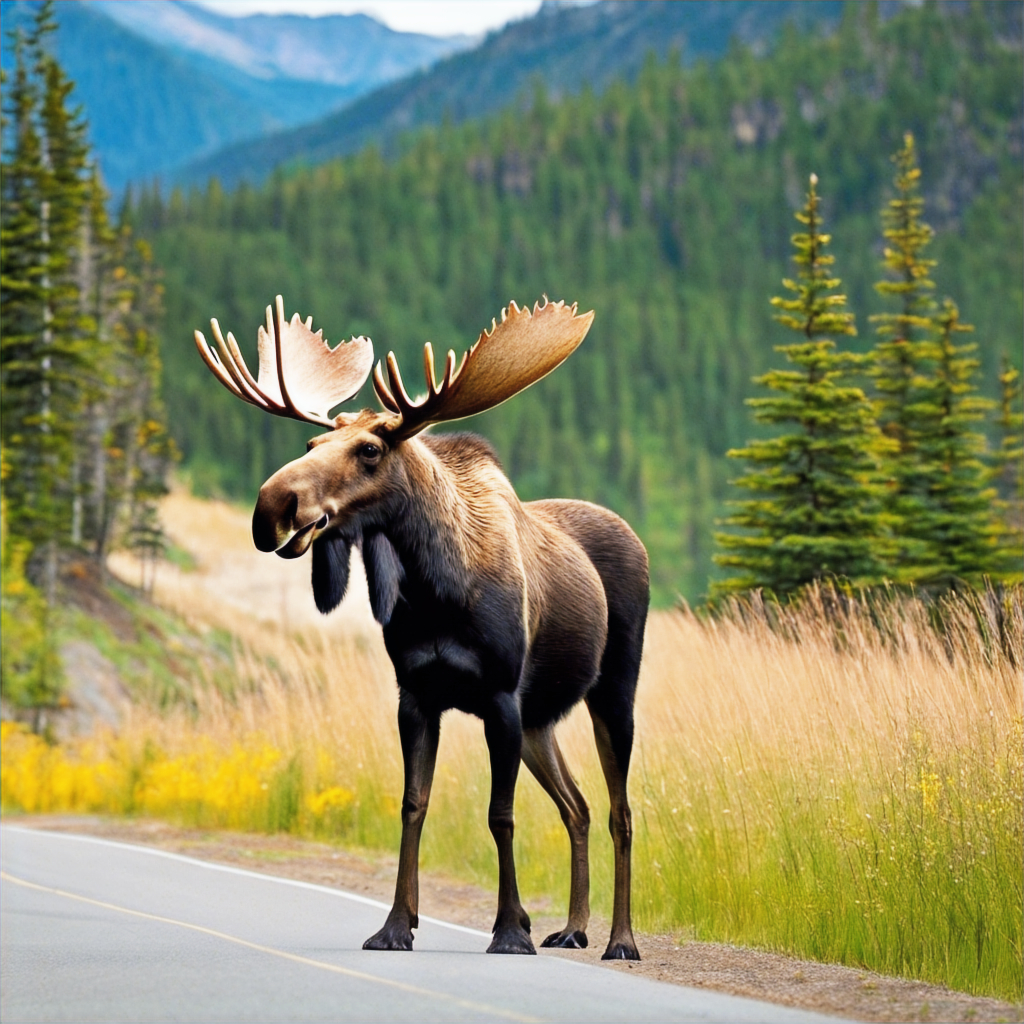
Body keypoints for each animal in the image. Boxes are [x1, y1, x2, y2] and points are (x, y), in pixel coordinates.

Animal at [194, 295, 649, 960]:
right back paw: (572, 927)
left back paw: (620, 940)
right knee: (578, 806)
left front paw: (509, 929)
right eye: (311, 439)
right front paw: (395, 925)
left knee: (620, 811)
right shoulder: (416, 694)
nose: (272, 506)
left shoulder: (499, 696)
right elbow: (413, 804)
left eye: (369, 451)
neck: (439, 595)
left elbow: (500, 814)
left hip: (612, 691)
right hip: (541, 720)